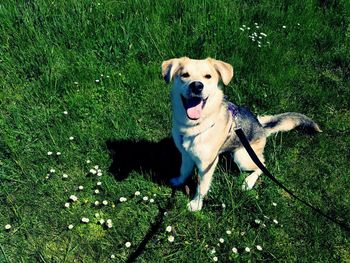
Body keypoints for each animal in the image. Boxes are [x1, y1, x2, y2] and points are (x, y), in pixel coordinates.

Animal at [161, 57, 320, 212]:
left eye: (208, 76)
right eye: (185, 75)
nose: (197, 86)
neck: (194, 126)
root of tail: (261, 127)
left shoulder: (207, 165)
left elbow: (202, 188)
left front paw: (196, 204)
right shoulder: (186, 155)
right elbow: (183, 171)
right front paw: (179, 181)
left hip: (242, 157)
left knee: (262, 165)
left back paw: (248, 182)